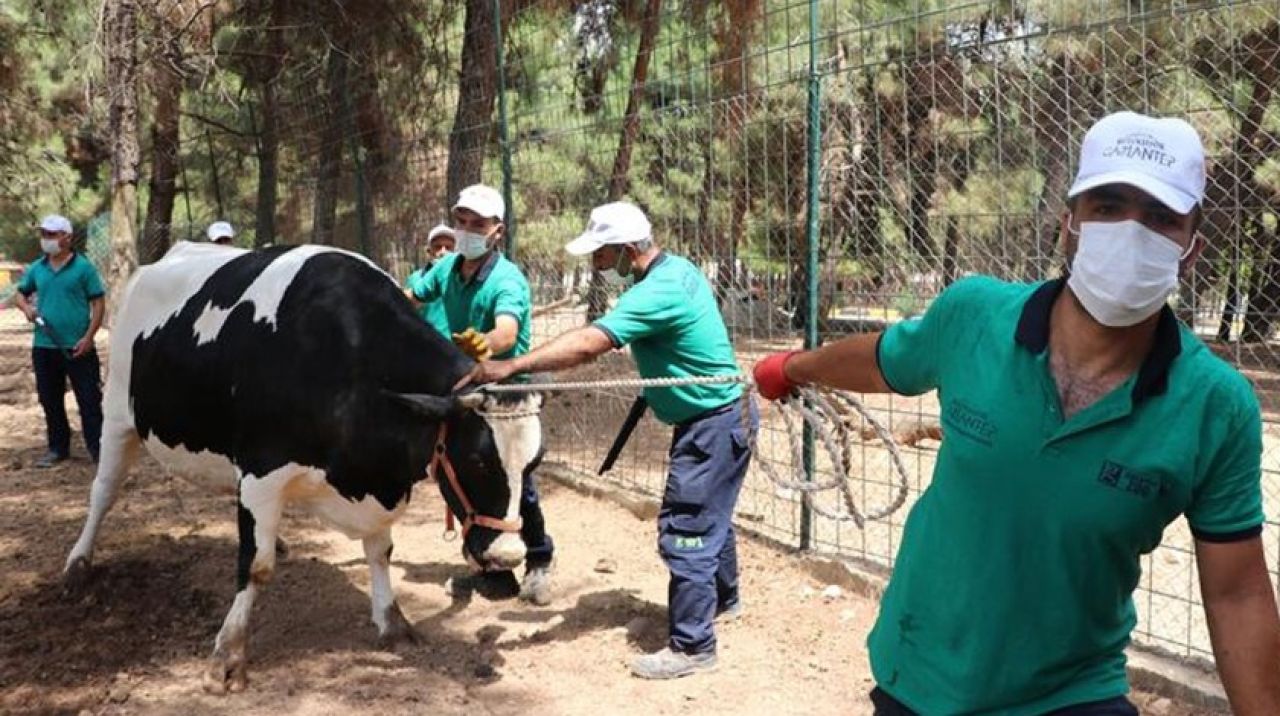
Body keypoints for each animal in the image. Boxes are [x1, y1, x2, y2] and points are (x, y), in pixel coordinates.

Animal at [62, 242, 542, 696]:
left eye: (534, 463)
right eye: (477, 459)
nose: (508, 555)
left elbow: (380, 552)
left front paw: (392, 621)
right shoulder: (261, 471)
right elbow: (255, 566)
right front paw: (227, 657)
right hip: (117, 412)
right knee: (103, 493)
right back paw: (77, 564)